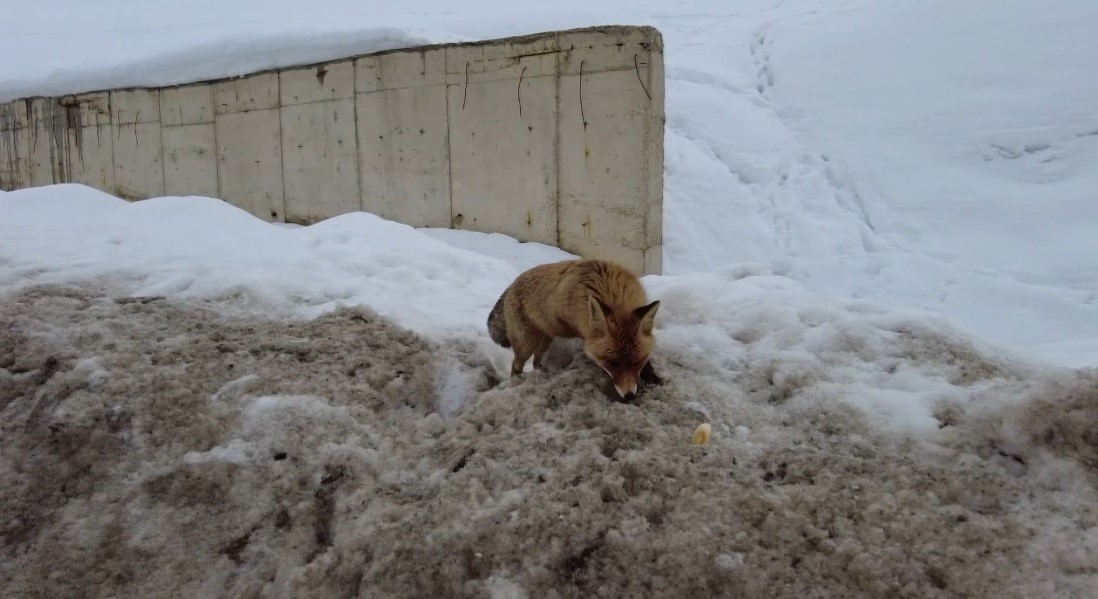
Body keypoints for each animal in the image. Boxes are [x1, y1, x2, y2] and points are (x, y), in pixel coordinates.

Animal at [489, 258, 658, 399]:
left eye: (637, 362)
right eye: (612, 363)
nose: (629, 396)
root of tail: (513, 283)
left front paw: (653, 377)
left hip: (546, 340)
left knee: (537, 360)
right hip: (527, 345)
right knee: (516, 365)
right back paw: (515, 382)